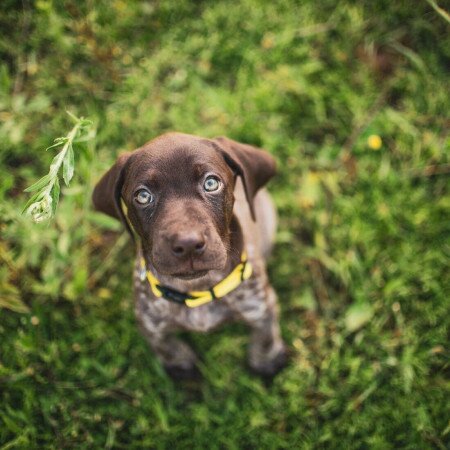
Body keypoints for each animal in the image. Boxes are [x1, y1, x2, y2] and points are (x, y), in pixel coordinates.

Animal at [93, 132, 286, 378]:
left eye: (211, 183)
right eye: (143, 196)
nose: (188, 244)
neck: (197, 289)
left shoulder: (260, 304)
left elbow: (265, 334)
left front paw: (266, 360)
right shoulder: (149, 322)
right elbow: (164, 346)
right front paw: (180, 365)